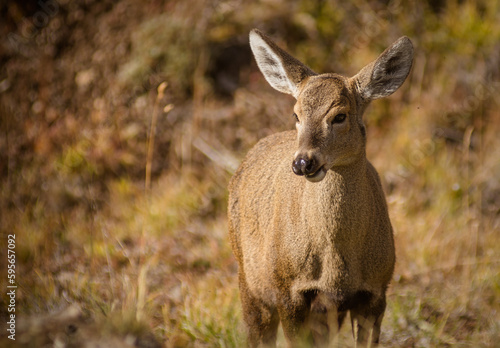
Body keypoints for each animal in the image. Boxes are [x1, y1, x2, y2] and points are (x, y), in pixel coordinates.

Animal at [228, 28, 414, 346]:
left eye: (339, 116)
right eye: (296, 114)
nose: (303, 162)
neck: (336, 266)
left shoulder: (376, 291)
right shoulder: (289, 290)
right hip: (249, 280)